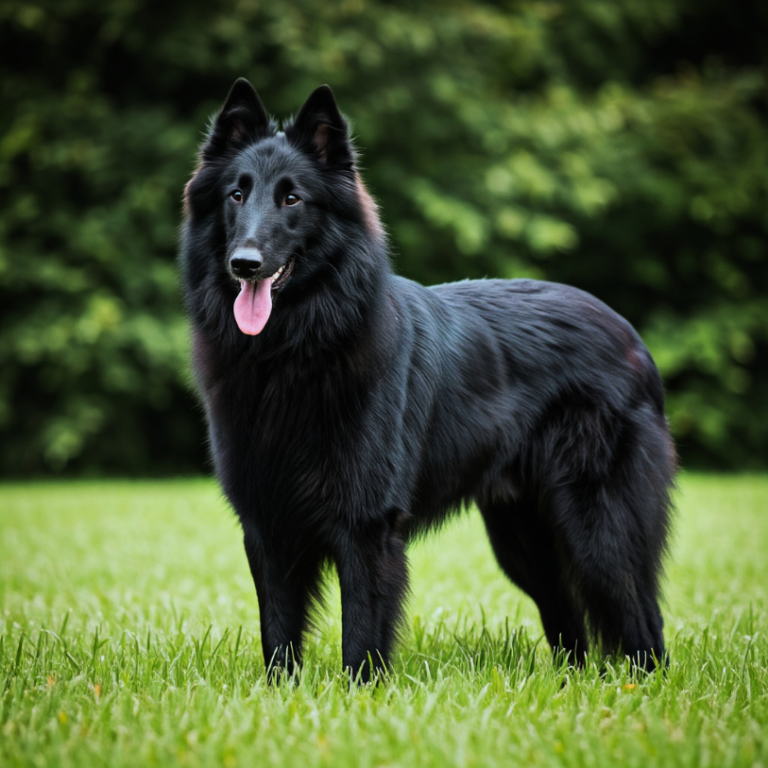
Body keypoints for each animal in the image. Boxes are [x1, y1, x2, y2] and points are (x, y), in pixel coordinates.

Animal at [178, 79, 672, 684]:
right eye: (236, 195)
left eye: (293, 199)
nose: (244, 263)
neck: (291, 353)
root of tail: (632, 337)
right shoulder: (267, 525)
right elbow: (278, 636)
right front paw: (279, 695)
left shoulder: (365, 526)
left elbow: (360, 636)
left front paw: (358, 697)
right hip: (524, 541)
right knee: (570, 624)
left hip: (598, 529)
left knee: (641, 618)